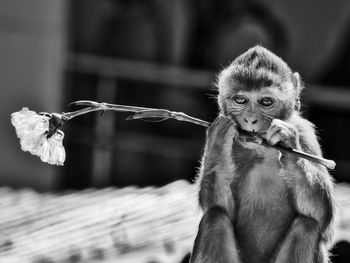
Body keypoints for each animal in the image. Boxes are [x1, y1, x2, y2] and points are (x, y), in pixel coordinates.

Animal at [190, 46, 334, 263]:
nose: (250, 120)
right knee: (214, 218)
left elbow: (322, 216)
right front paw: (219, 138)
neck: (261, 150)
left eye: (266, 101)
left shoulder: (305, 133)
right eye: (241, 100)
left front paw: (286, 138)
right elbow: (219, 205)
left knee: (307, 225)